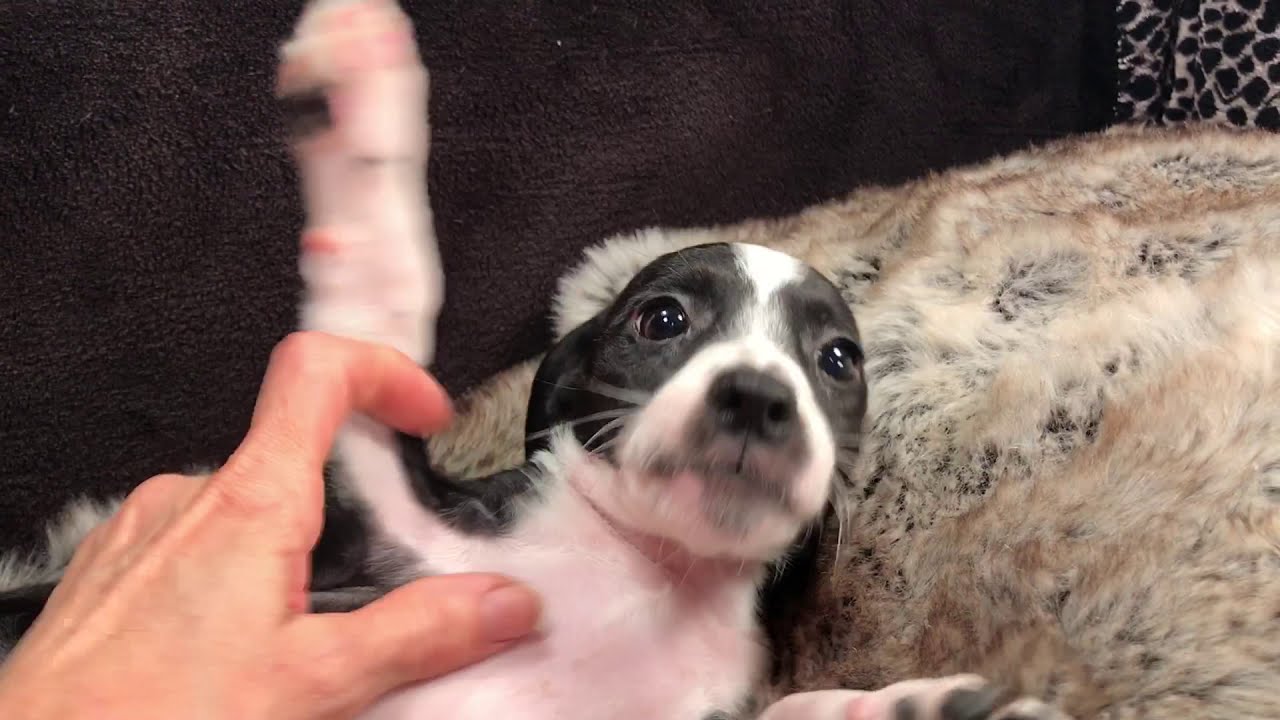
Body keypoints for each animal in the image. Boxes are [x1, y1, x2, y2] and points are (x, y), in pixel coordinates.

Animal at [0, 1, 1070, 718]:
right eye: (661, 319)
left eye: (838, 358)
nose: (759, 398)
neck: (653, 575)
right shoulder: (365, 508)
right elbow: (383, 297)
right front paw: (362, 96)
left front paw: (914, 705)